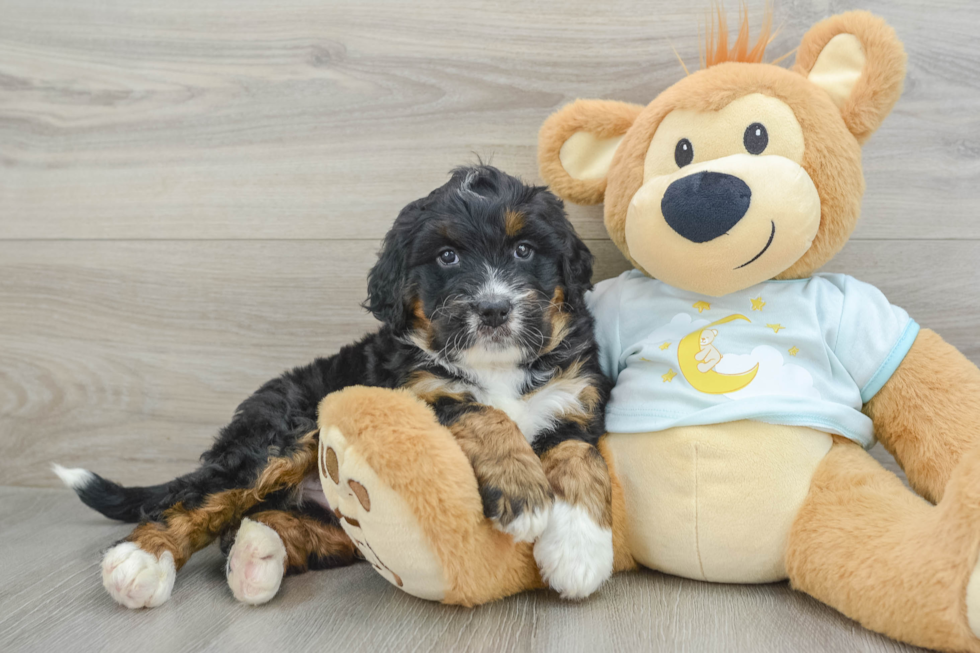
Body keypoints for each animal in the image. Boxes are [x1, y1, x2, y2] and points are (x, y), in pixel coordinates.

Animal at [53, 164, 612, 608]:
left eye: (524, 250)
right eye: (447, 257)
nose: (494, 309)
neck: (496, 366)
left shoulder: (574, 397)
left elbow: (578, 458)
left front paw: (580, 550)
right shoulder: (414, 392)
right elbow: (482, 412)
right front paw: (525, 494)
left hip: (344, 521)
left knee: (274, 527)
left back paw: (256, 556)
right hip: (284, 432)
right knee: (201, 496)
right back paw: (140, 560)